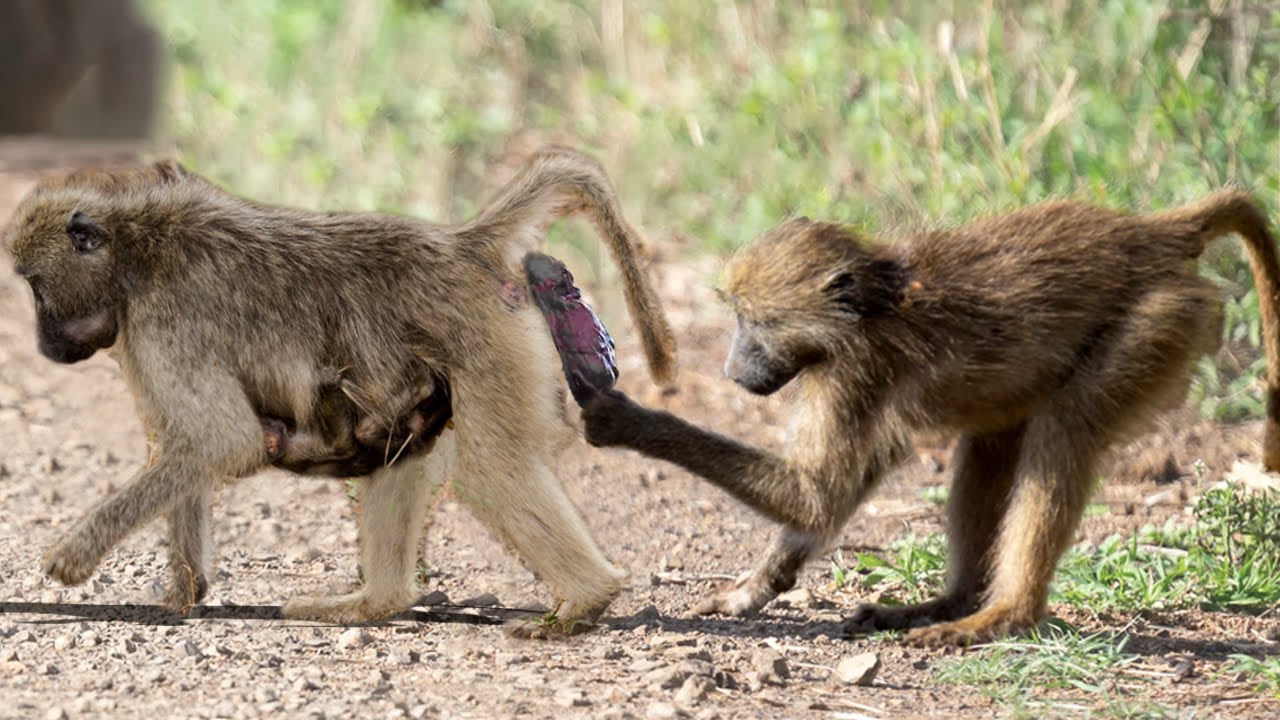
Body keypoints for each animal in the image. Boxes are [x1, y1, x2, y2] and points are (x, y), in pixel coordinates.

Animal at [3, 145, 678, 632]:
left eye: (35, 285)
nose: (44, 344)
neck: (136, 246)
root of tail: (461, 243)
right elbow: (190, 449)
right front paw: (182, 592)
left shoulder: (163, 324)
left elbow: (220, 441)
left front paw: (72, 558)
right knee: (404, 460)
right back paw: (371, 604)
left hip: (486, 346)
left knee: (490, 472)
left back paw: (584, 603)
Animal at [581, 190, 1280, 646]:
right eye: (737, 319)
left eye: (757, 323)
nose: (731, 372)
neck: (879, 299)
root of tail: (1153, 235)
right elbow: (834, 493)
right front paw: (754, 588)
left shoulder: (856, 369)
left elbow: (816, 494)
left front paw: (622, 417)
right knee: (992, 443)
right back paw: (948, 604)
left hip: (1158, 319)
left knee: (1067, 428)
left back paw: (1002, 617)